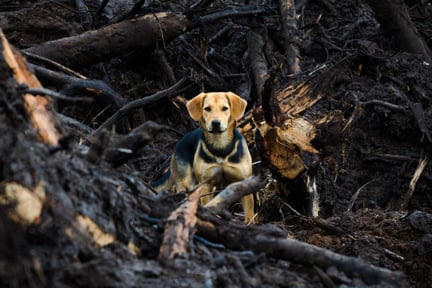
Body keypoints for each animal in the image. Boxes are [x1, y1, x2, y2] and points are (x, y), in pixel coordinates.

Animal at [152, 91, 255, 223]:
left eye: (225, 108)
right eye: (207, 109)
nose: (215, 123)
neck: (220, 147)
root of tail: (179, 143)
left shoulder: (245, 182)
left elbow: (249, 214)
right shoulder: (206, 185)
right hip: (185, 184)